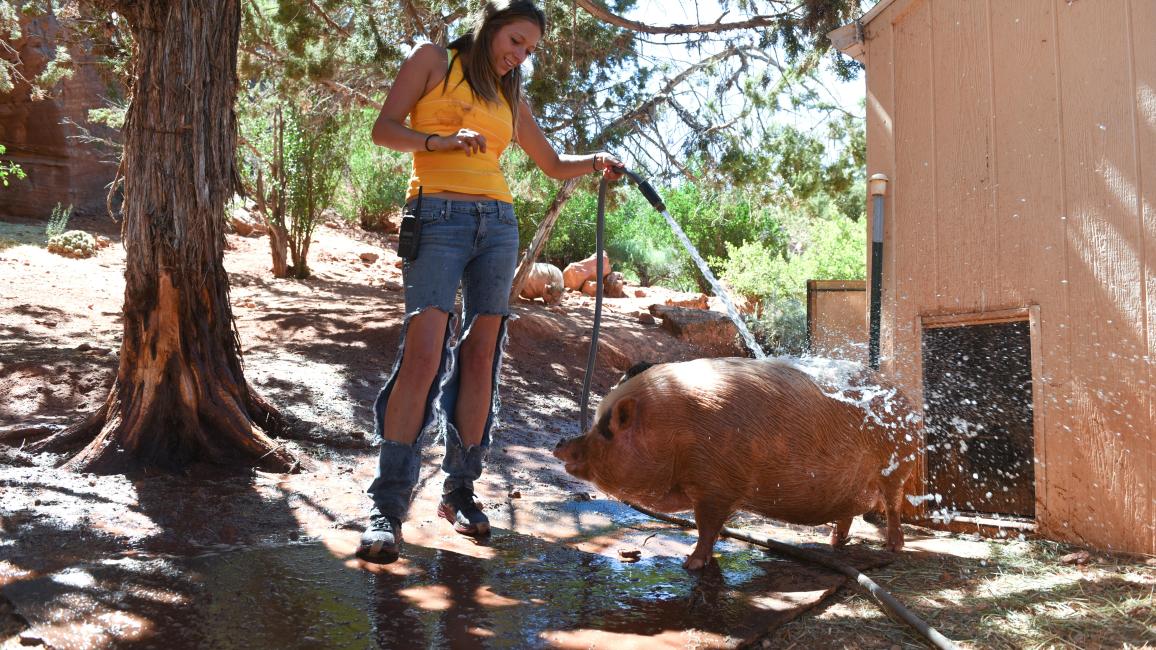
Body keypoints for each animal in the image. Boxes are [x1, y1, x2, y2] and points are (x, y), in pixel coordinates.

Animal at [552, 357, 920, 570]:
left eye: (607, 430)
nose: (560, 444)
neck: (672, 432)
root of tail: (909, 403)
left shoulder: (716, 485)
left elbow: (706, 526)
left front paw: (690, 565)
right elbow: (710, 528)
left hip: (895, 468)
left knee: (892, 506)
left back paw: (893, 547)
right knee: (848, 513)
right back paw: (833, 543)